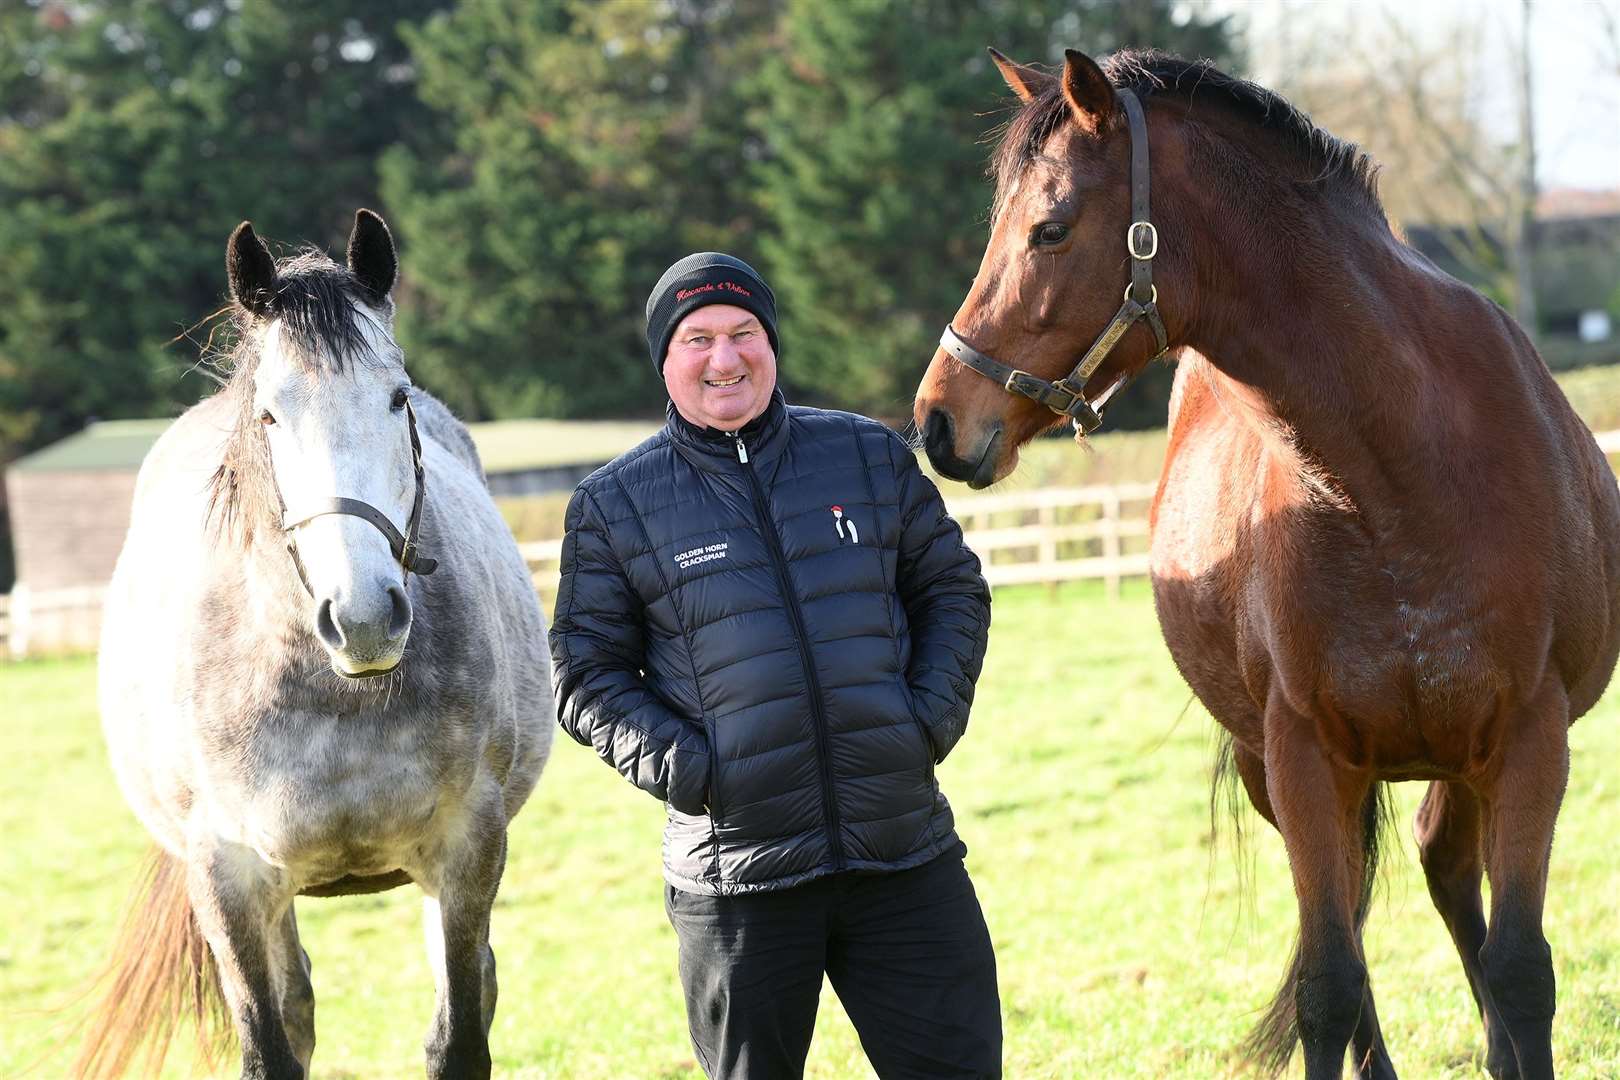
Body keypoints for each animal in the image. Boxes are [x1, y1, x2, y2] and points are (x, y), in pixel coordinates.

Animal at [85, 207, 554, 1075]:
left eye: (397, 397)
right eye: (271, 414)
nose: (364, 616)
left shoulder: (468, 848)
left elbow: (459, 1038)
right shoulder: (227, 877)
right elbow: (269, 1043)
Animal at [920, 48, 1613, 1080]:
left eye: (1049, 227)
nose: (937, 419)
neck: (1401, 476)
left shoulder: (1532, 741)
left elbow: (1523, 970)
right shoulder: (1301, 759)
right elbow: (1328, 986)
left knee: (1446, 875)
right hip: (1282, 771)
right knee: (1358, 932)